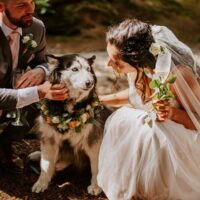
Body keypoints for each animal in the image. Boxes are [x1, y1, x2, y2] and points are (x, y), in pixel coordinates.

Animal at [30, 54, 111, 195]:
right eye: (75, 69)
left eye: (88, 69)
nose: (90, 82)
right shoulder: (49, 138)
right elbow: (46, 164)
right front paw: (41, 183)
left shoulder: (94, 141)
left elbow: (96, 166)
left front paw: (96, 186)